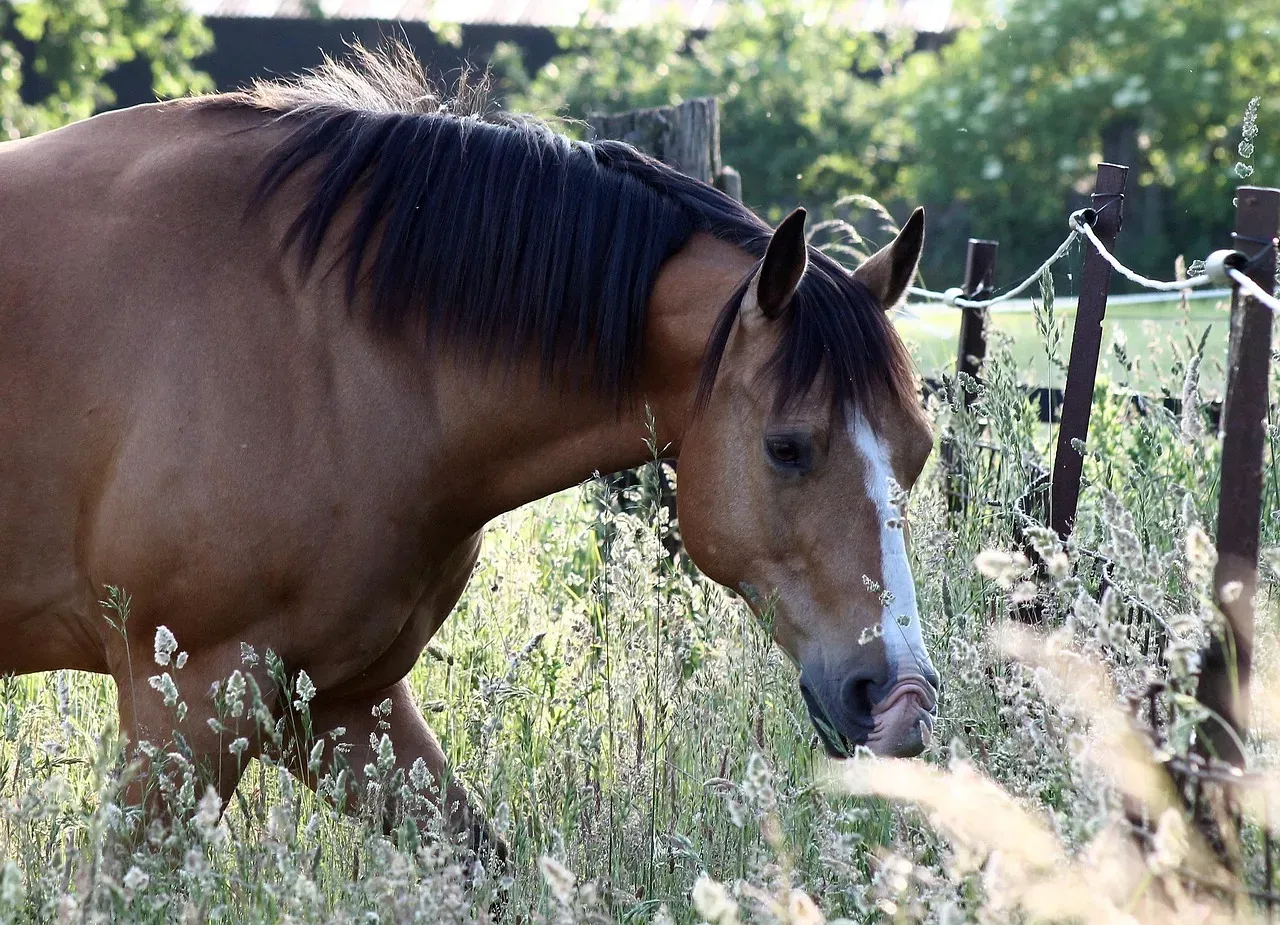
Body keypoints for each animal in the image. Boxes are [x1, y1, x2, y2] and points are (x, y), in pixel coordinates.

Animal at [0, 46, 938, 854]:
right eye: (788, 447)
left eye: (919, 451)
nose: (900, 699)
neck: (321, 338)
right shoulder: (189, 698)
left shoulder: (341, 700)